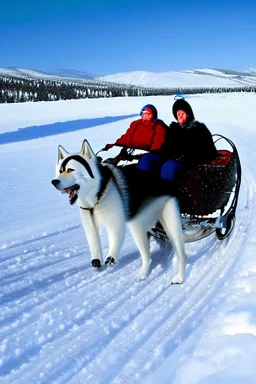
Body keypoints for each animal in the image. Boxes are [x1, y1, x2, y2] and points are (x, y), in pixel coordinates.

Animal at [51, 140, 186, 284]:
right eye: (60, 171)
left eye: (70, 169)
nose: (54, 181)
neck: (97, 195)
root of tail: (167, 183)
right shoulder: (90, 225)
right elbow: (94, 244)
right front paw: (97, 261)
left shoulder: (115, 223)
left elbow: (115, 240)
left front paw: (111, 258)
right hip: (158, 225)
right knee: (166, 254)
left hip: (150, 225)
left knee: (162, 256)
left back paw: (162, 276)